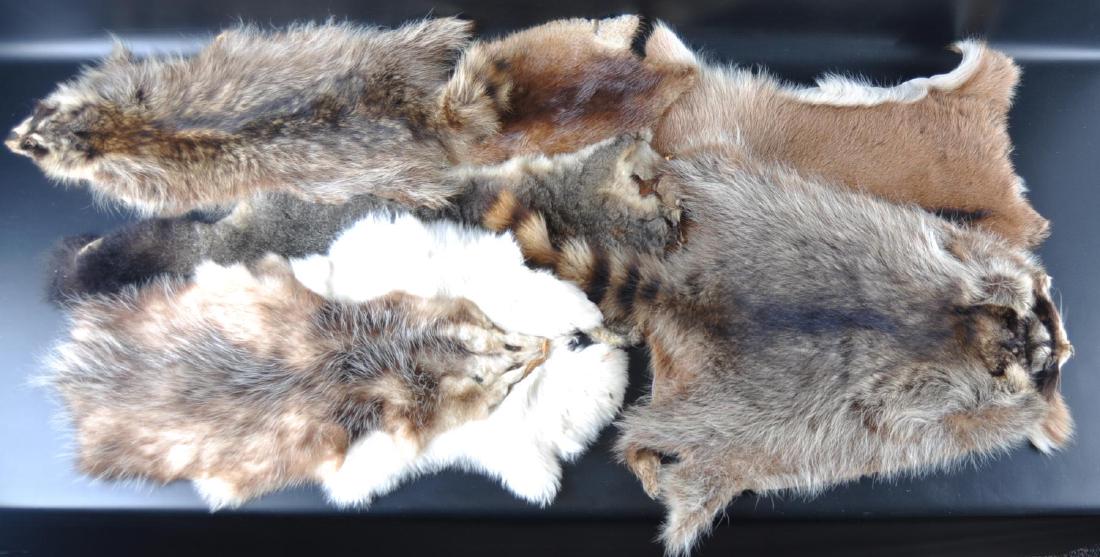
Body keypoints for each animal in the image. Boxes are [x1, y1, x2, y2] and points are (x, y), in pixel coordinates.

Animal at [6, 19, 497, 215]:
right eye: (37, 112)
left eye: (35, 146)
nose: (9, 139)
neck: (113, 129)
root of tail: (417, 112)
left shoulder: (137, 170)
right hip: (377, 55)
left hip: (366, 168)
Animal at [490, 146, 1072, 554]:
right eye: (1045, 358)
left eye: (1046, 325)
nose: (1067, 347)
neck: (967, 332)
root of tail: (693, 293)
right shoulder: (956, 371)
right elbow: (976, 414)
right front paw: (1043, 414)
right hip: (735, 417)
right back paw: (643, 450)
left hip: (745, 227)